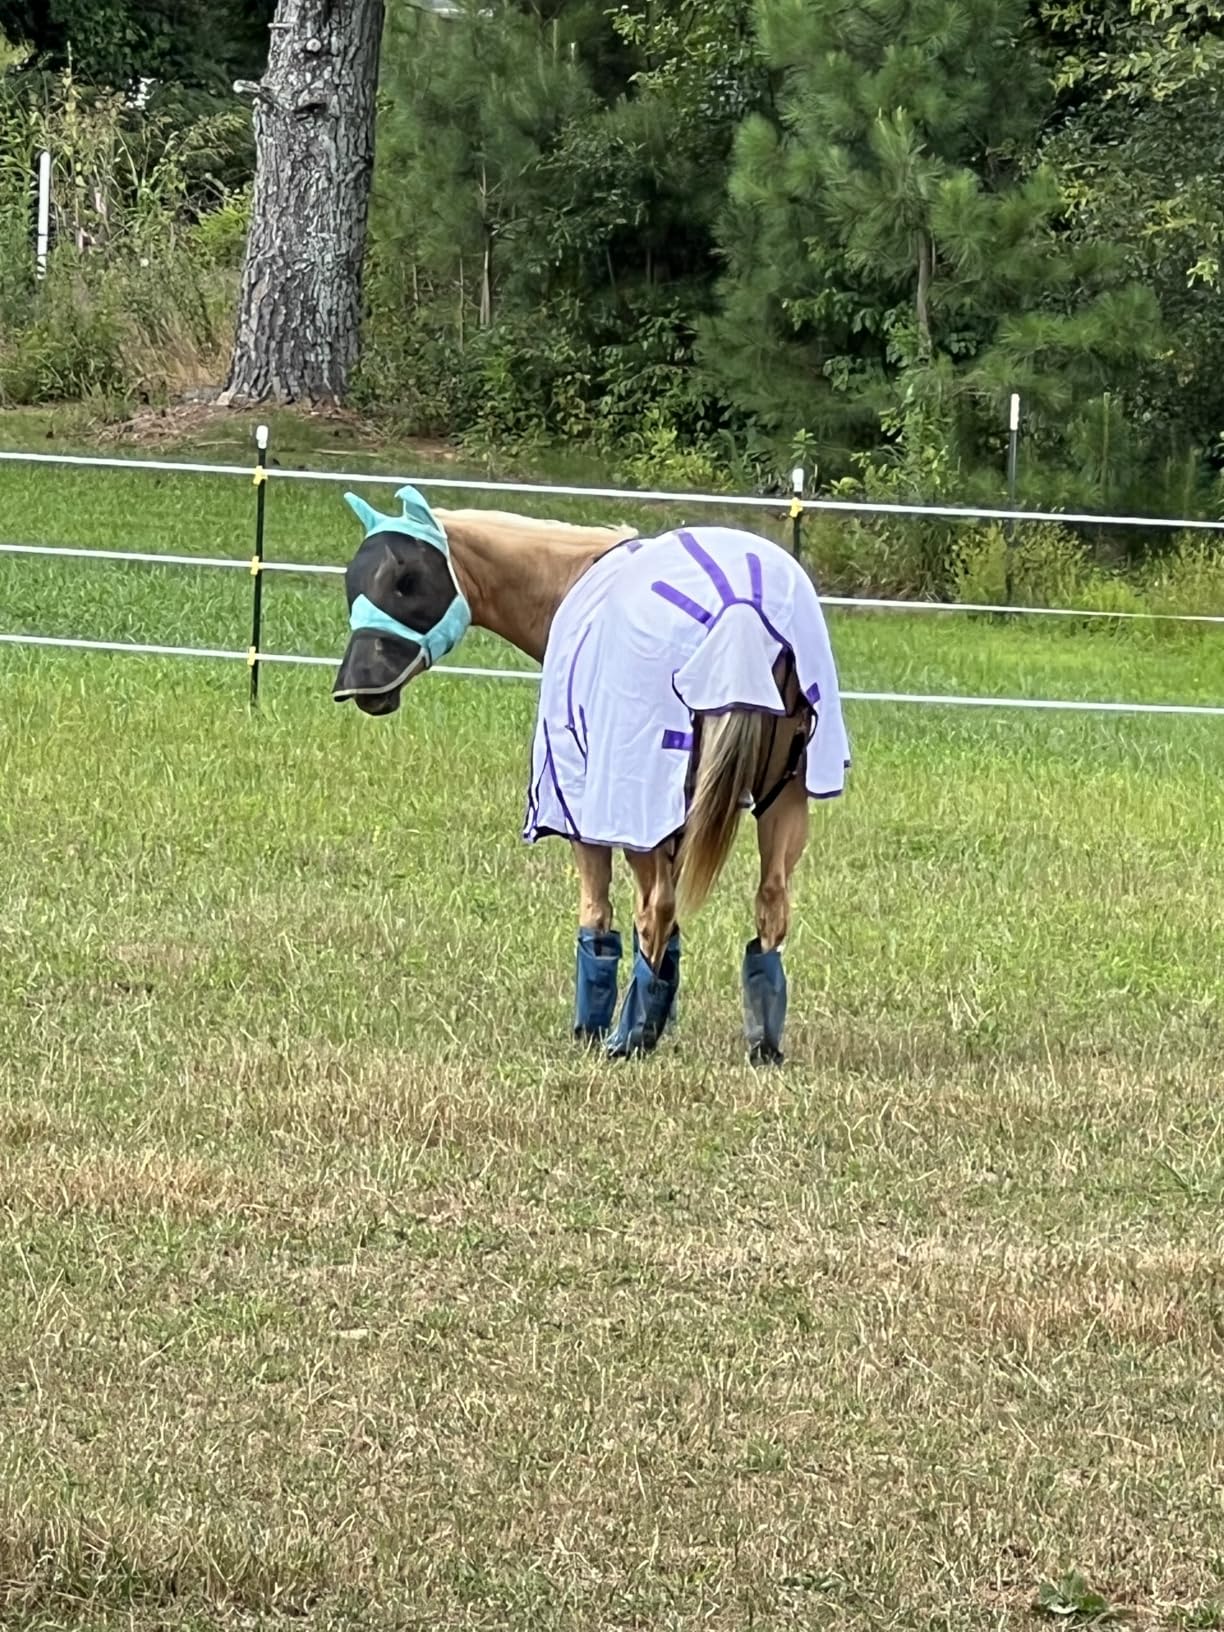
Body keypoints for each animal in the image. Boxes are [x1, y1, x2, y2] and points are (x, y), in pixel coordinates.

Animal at [331, 484, 850, 1064]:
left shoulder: (585, 810)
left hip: (639, 808)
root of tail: (738, 610)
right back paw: (760, 1046)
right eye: (353, 581)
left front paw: (594, 1028)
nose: (358, 687)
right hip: (783, 801)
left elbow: (598, 912)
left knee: (654, 909)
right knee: (769, 908)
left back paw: (628, 1039)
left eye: (407, 579)